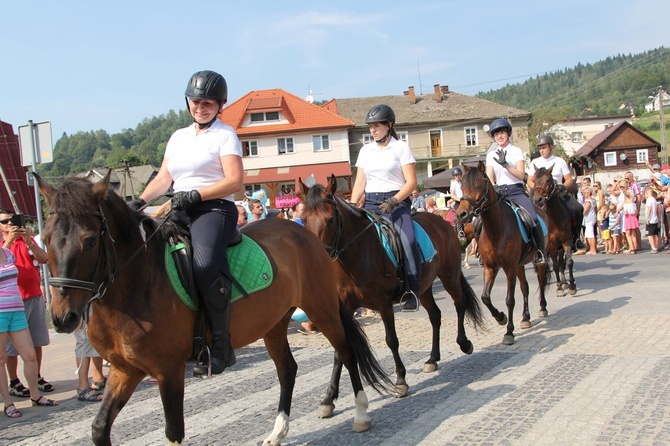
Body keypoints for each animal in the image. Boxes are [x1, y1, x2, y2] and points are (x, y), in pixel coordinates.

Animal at [35, 172, 394, 446]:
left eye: (90, 240)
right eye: (45, 237)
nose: (63, 318)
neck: (135, 284)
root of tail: (302, 232)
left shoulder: (168, 371)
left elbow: (173, 433)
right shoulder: (125, 371)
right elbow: (99, 428)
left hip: (322, 309)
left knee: (346, 353)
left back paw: (360, 414)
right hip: (274, 322)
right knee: (288, 370)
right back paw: (277, 432)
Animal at [300, 176, 484, 406]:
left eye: (331, 219)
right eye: (303, 220)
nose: (315, 260)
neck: (357, 253)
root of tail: (443, 222)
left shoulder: (384, 303)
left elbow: (392, 340)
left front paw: (401, 381)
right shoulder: (344, 307)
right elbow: (339, 350)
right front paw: (328, 398)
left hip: (449, 276)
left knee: (459, 304)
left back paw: (464, 343)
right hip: (423, 288)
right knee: (435, 315)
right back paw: (433, 358)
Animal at [456, 163, 552, 344]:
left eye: (479, 186)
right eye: (462, 186)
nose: (461, 215)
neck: (496, 228)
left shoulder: (509, 267)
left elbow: (509, 300)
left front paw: (509, 332)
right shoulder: (490, 267)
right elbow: (485, 297)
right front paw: (500, 318)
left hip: (536, 261)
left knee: (541, 281)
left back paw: (543, 308)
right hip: (519, 265)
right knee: (525, 288)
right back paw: (525, 318)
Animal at [532, 164, 580, 296]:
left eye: (548, 180)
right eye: (534, 180)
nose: (538, 199)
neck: (555, 217)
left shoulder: (566, 241)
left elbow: (568, 262)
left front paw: (572, 286)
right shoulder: (552, 245)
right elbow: (555, 266)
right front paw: (559, 288)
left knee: (562, 262)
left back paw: (565, 282)